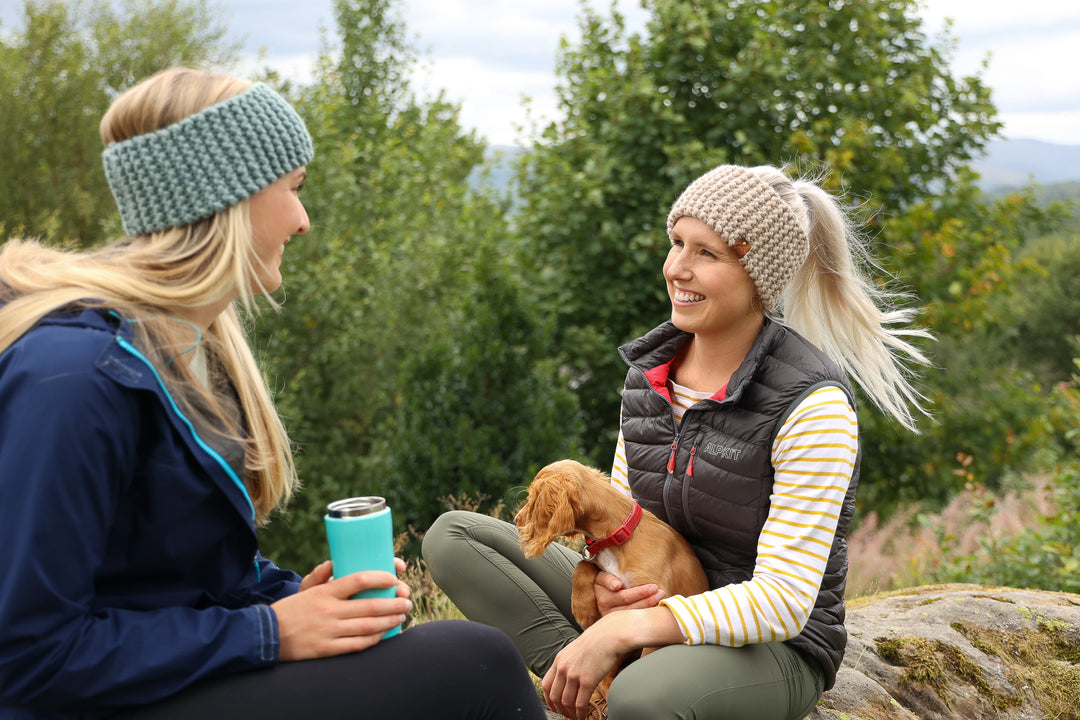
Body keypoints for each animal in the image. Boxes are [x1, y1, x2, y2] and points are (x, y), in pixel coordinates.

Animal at [514, 459, 708, 712]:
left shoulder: (655, 603)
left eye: (531, 497)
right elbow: (582, 565)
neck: (619, 537)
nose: (515, 520)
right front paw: (583, 609)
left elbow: (645, 658)